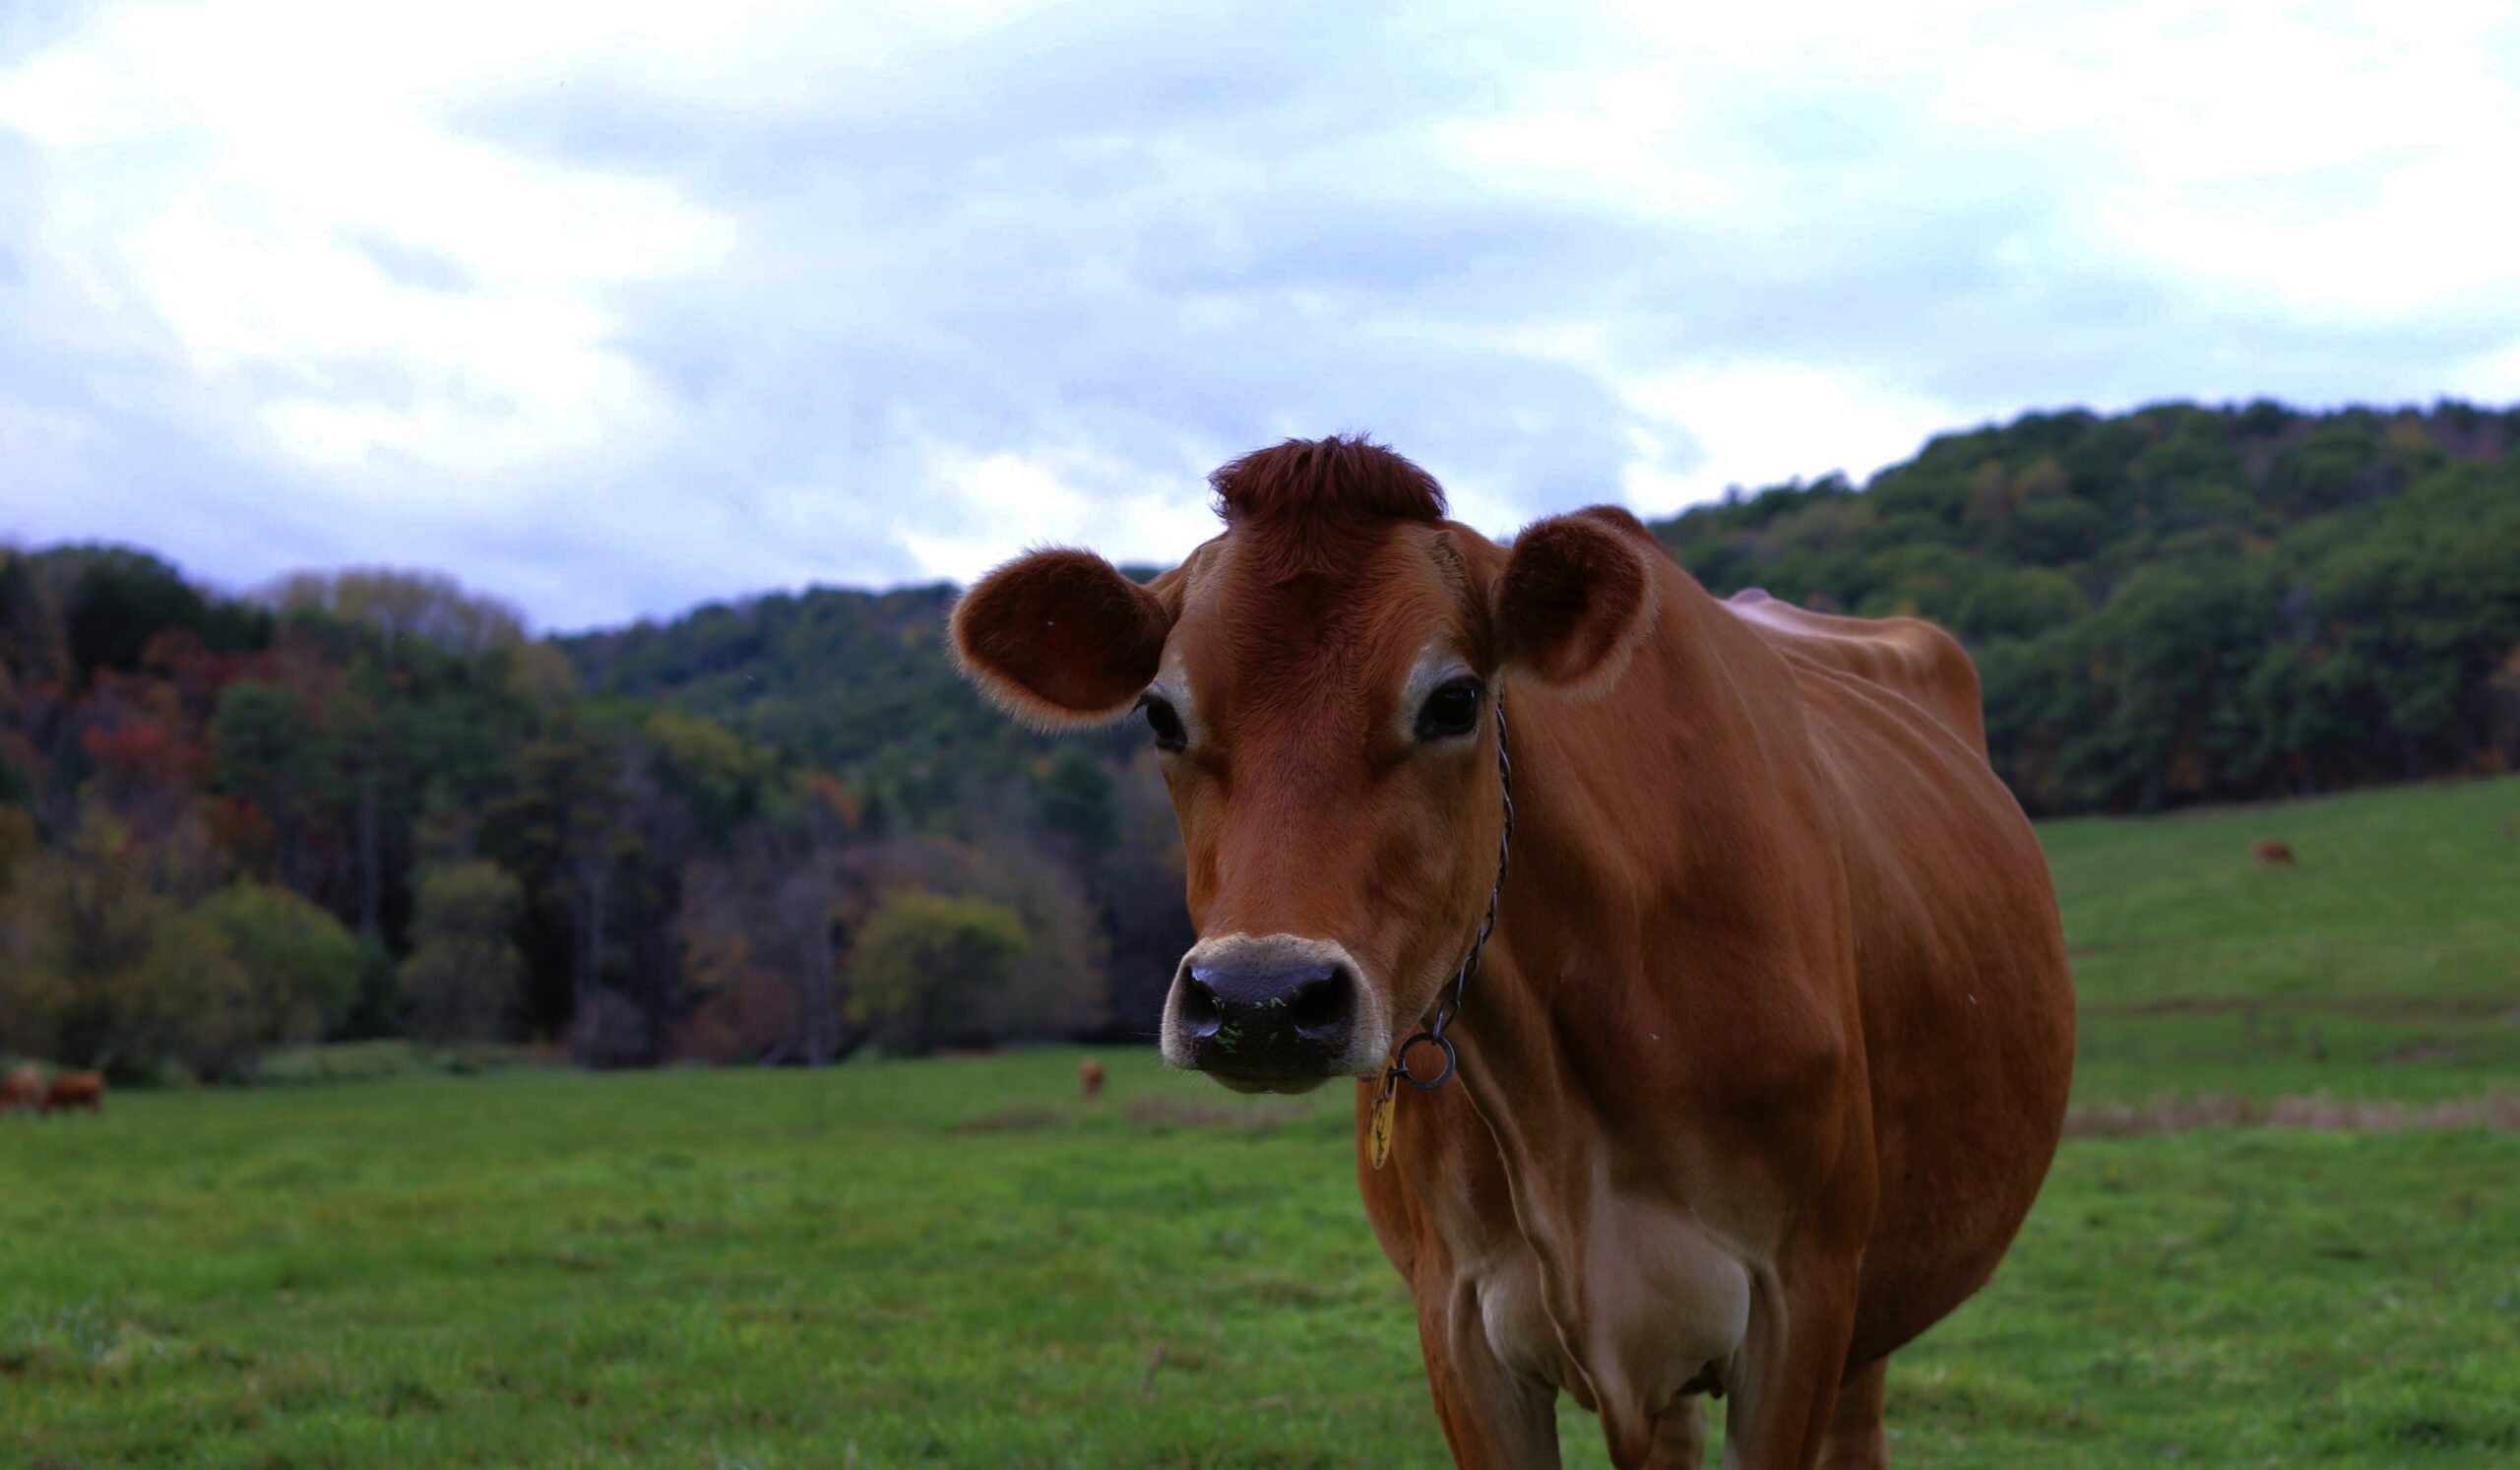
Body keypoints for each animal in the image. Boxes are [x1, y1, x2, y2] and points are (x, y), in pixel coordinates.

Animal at [950, 437, 2075, 1469]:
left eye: (1454, 699)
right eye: (1160, 712)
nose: (1259, 998)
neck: (1559, 1103)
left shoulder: (1803, 1301)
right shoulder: (1457, 1323)